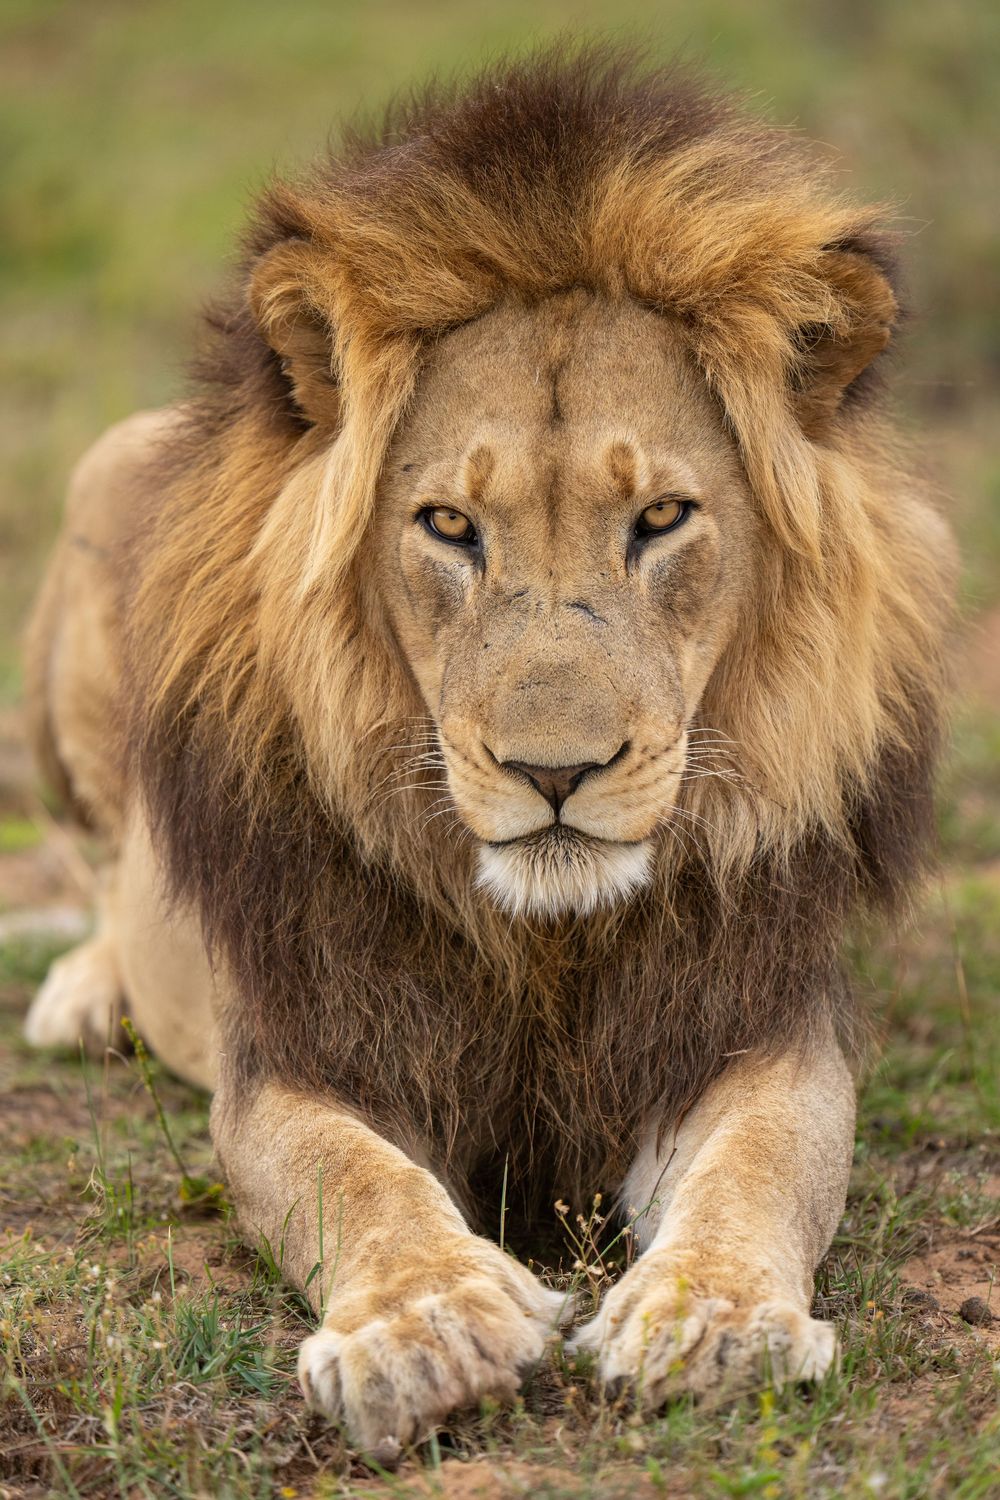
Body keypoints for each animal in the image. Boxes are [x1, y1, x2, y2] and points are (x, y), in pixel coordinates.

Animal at [23, 50, 954, 1459]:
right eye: (449, 526)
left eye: (662, 517)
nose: (554, 773)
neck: (548, 945)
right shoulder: (303, 1048)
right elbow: (353, 1179)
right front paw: (425, 1327)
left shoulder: (757, 1024)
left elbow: (760, 1167)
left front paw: (714, 1318)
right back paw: (85, 993)